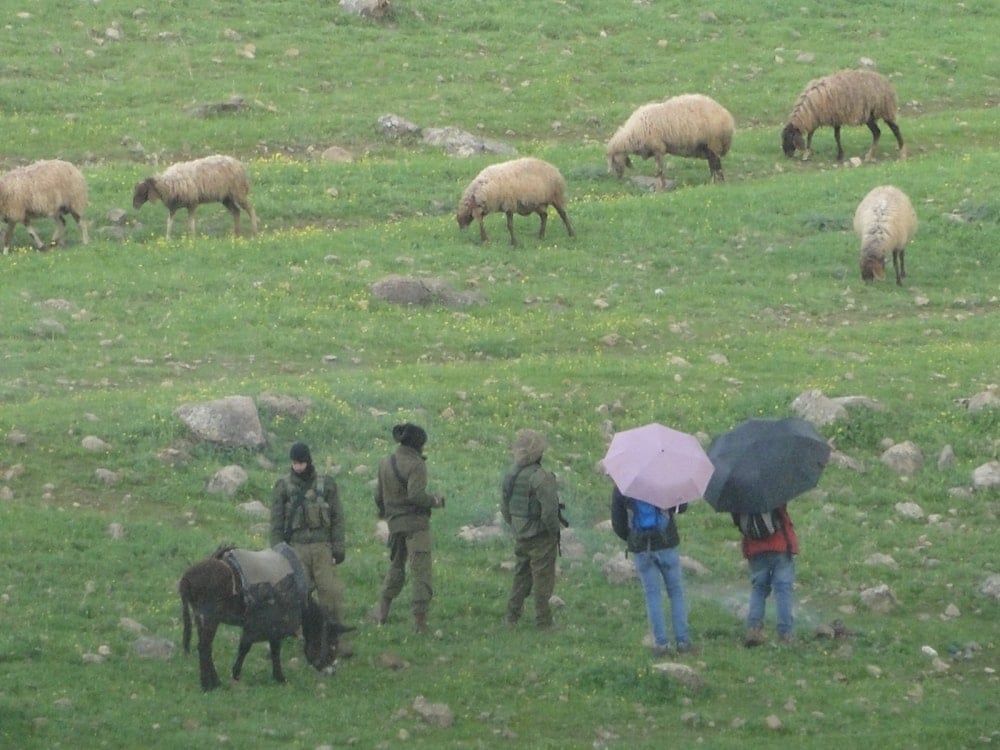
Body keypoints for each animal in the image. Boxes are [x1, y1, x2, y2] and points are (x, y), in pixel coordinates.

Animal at [600, 94, 736, 189]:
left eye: (613, 160)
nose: (618, 177)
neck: (633, 133)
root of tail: (727, 117)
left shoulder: (658, 148)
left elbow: (659, 171)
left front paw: (661, 187)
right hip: (708, 147)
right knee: (713, 165)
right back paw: (713, 182)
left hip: (714, 143)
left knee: (716, 165)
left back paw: (718, 183)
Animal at [780, 69, 908, 163]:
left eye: (788, 138)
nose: (787, 155)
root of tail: (885, 83)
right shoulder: (816, 118)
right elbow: (810, 135)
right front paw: (807, 154)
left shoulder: (835, 117)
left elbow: (836, 136)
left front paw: (840, 155)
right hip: (869, 116)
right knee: (877, 132)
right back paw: (870, 155)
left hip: (883, 110)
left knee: (894, 129)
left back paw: (902, 152)